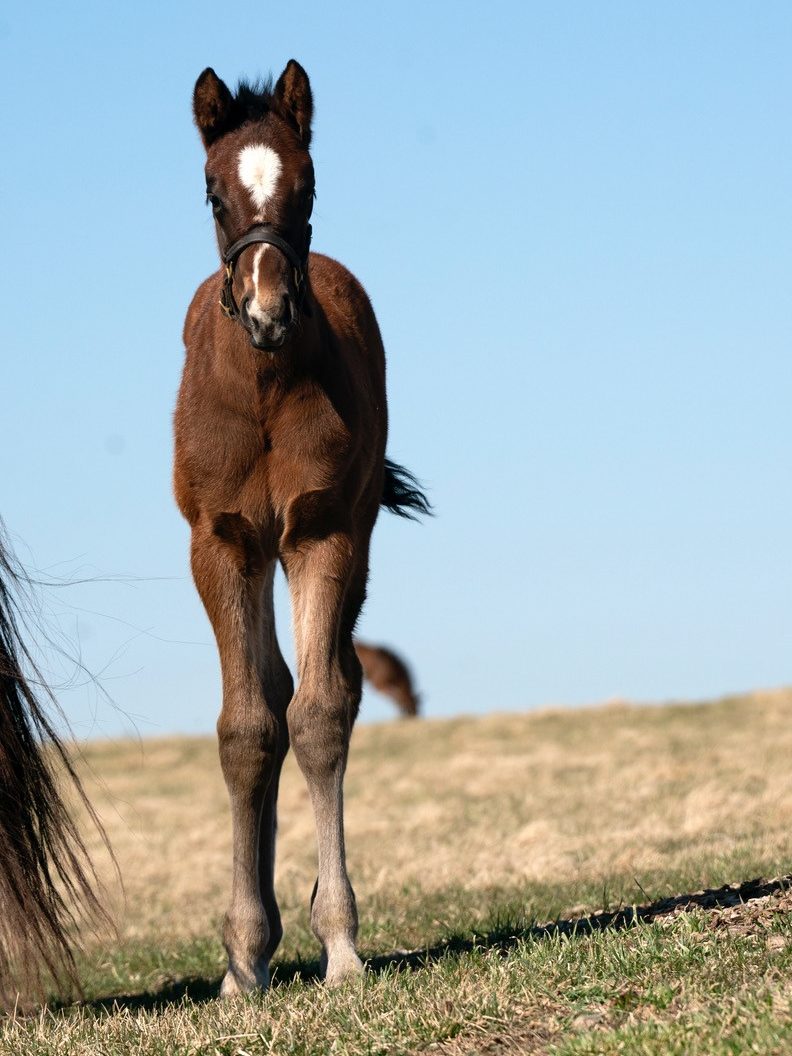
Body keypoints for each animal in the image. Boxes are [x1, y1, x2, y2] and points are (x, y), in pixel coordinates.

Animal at [176, 59, 430, 996]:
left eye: (309, 184)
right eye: (213, 192)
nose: (268, 310)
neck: (264, 391)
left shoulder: (322, 533)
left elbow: (317, 716)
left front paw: (341, 943)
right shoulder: (221, 543)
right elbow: (246, 728)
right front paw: (242, 958)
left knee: (334, 688)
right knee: (272, 695)